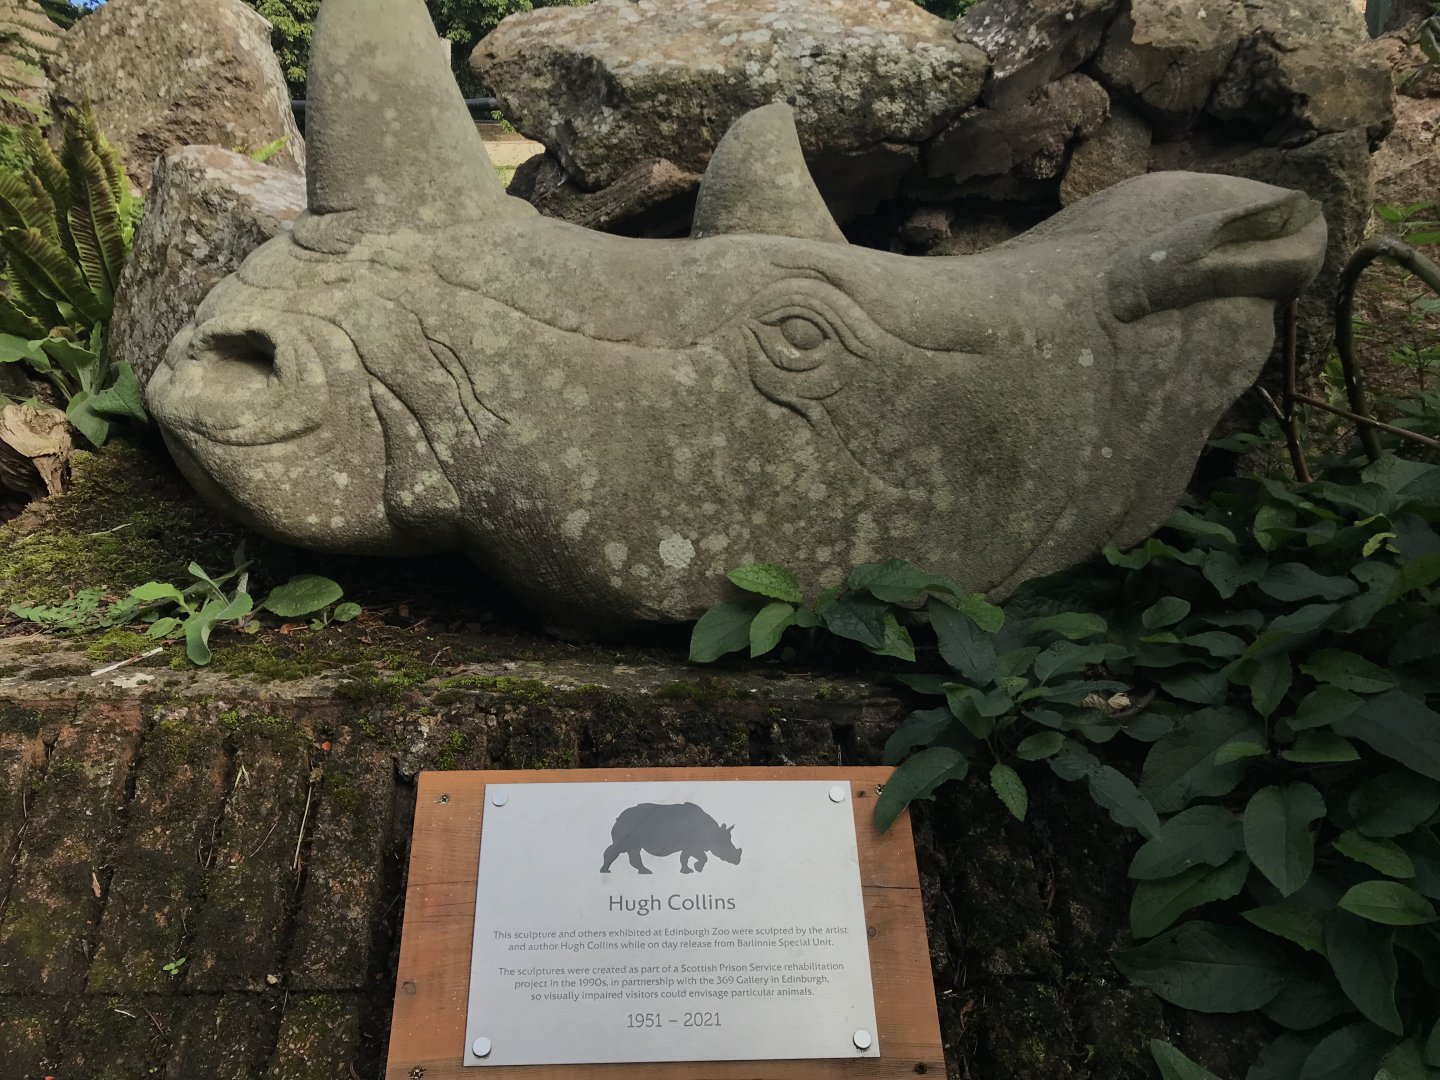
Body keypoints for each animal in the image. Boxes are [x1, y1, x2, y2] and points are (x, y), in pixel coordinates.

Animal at [601, 803, 742, 875]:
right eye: (725, 848)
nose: (737, 861)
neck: (712, 833)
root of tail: (619, 817)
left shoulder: (688, 846)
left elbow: (684, 858)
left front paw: (687, 871)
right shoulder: (693, 845)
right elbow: (703, 857)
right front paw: (697, 869)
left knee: (633, 850)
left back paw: (645, 872)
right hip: (628, 826)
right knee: (620, 848)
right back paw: (605, 871)